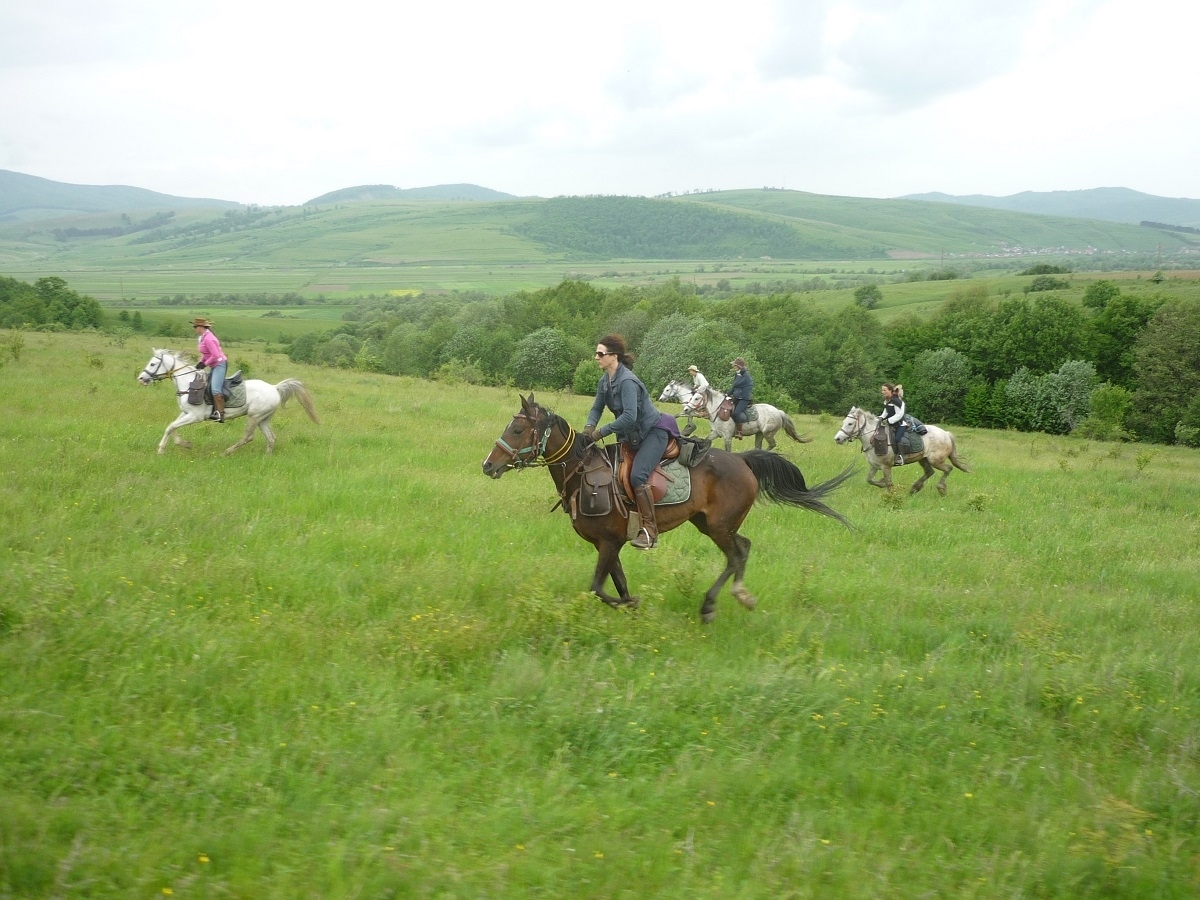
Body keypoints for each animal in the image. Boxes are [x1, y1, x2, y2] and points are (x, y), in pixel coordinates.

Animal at [137, 349, 319, 455]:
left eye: (152, 363)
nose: (141, 378)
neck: (188, 383)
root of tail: (274, 388)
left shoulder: (195, 416)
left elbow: (172, 426)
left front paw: (171, 447)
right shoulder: (185, 413)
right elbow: (171, 427)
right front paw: (175, 446)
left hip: (254, 416)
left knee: (248, 437)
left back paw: (227, 452)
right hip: (263, 419)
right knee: (271, 438)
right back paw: (266, 457)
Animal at [482, 394, 854, 623]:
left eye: (517, 429)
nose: (488, 466)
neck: (582, 473)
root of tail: (743, 461)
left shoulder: (609, 543)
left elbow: (598, 588)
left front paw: (631, 605)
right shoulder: (610, 545)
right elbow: (617, 583)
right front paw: (632, 611)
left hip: (719, 526)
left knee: (735, 554)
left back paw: (713, 604)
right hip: (709, 523)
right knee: (743, 548)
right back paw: (737, 595)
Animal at [833, 406, 970, 495]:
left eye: (850, 424)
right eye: (844, 422)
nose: (838, 439)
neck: (873, 437)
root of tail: (946, 434)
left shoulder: (885, 466)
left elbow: (889, 484)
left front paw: (889, 493)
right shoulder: (874, 465)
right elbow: (870, 480)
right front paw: (881, 483)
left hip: (935, 460)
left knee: (948, 469)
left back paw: (941, 488)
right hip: (923, 459)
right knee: (929, 472)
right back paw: (915, 488)